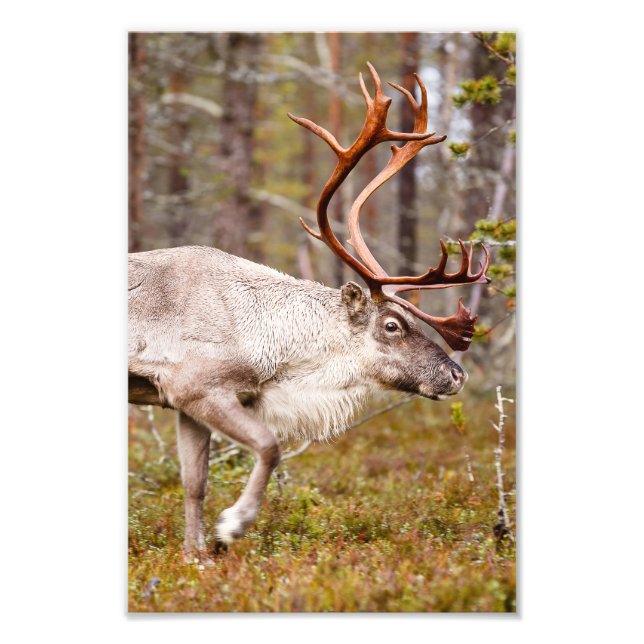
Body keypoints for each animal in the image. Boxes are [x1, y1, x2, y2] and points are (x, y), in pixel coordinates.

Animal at [128, 63, 490, 563]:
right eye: (392, 325)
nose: (456, 374)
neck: (274, 349)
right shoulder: (198, 387)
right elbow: (269, 445)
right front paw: (231, 527)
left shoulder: (183, 402)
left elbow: (193, 483)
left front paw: (194, 557)